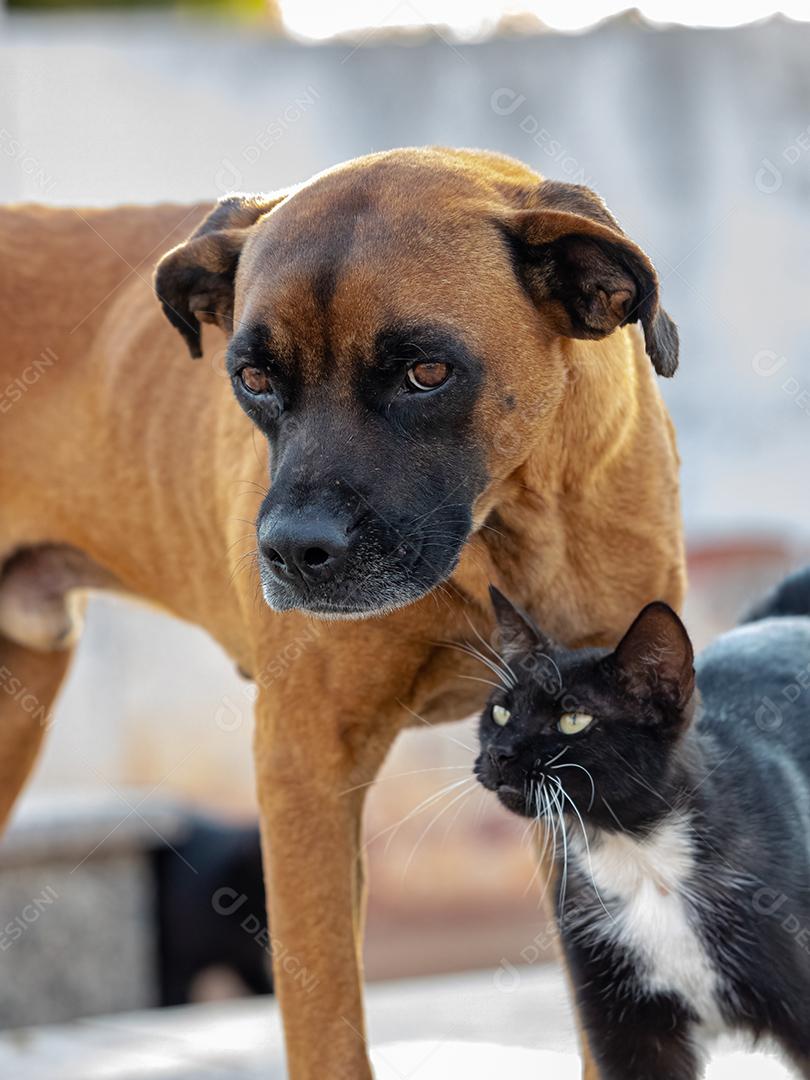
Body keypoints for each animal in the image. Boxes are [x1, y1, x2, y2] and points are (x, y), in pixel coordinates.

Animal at [0, 147, 686, 1075]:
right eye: (253, 379)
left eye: (426, 373)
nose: (292, 552)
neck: (506, 522)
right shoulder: (306, 765)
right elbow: (326, 1021)